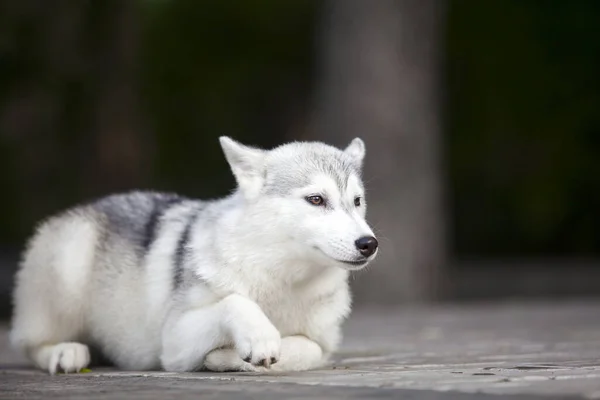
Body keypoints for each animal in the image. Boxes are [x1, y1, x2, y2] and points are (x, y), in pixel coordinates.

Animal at [10, 136, 380, 374]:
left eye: (357, 201)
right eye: (316, 199)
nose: (368, 243)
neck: (282, 279)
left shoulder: (322, 344)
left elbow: (305, 349)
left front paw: (231, 357)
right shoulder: (174, 342)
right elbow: (235, 302)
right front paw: (255, 340)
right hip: (70, 262)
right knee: (28, 343)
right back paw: (66, 352)